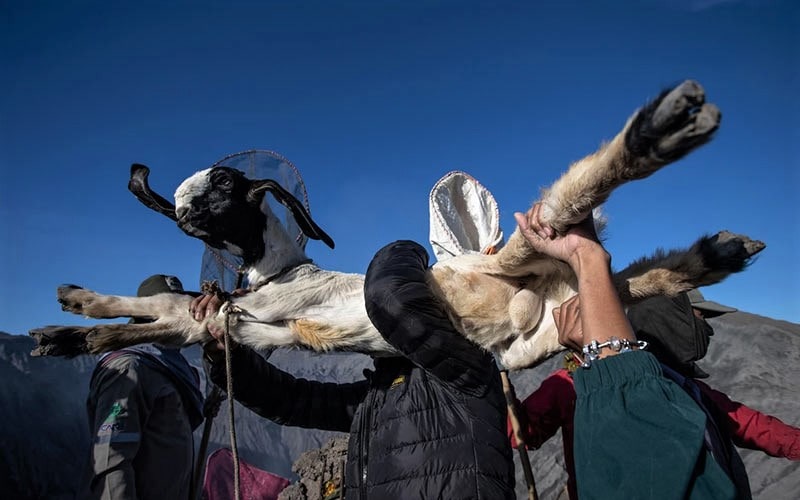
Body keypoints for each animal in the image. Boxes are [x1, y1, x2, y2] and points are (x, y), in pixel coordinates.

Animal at [31, 80, 764, 372]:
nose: (181, 207)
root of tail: (539, 291)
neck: (276, 274)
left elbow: (169, 309)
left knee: (560, 208)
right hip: (552, 326)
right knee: (634, 279)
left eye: (227, 186)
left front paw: (78, 323)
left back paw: (659, 131)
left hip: (502, 261)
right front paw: (71, 326)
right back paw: (717, 252)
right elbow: (168, 314)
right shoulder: (242, 324)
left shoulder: (262, 309)